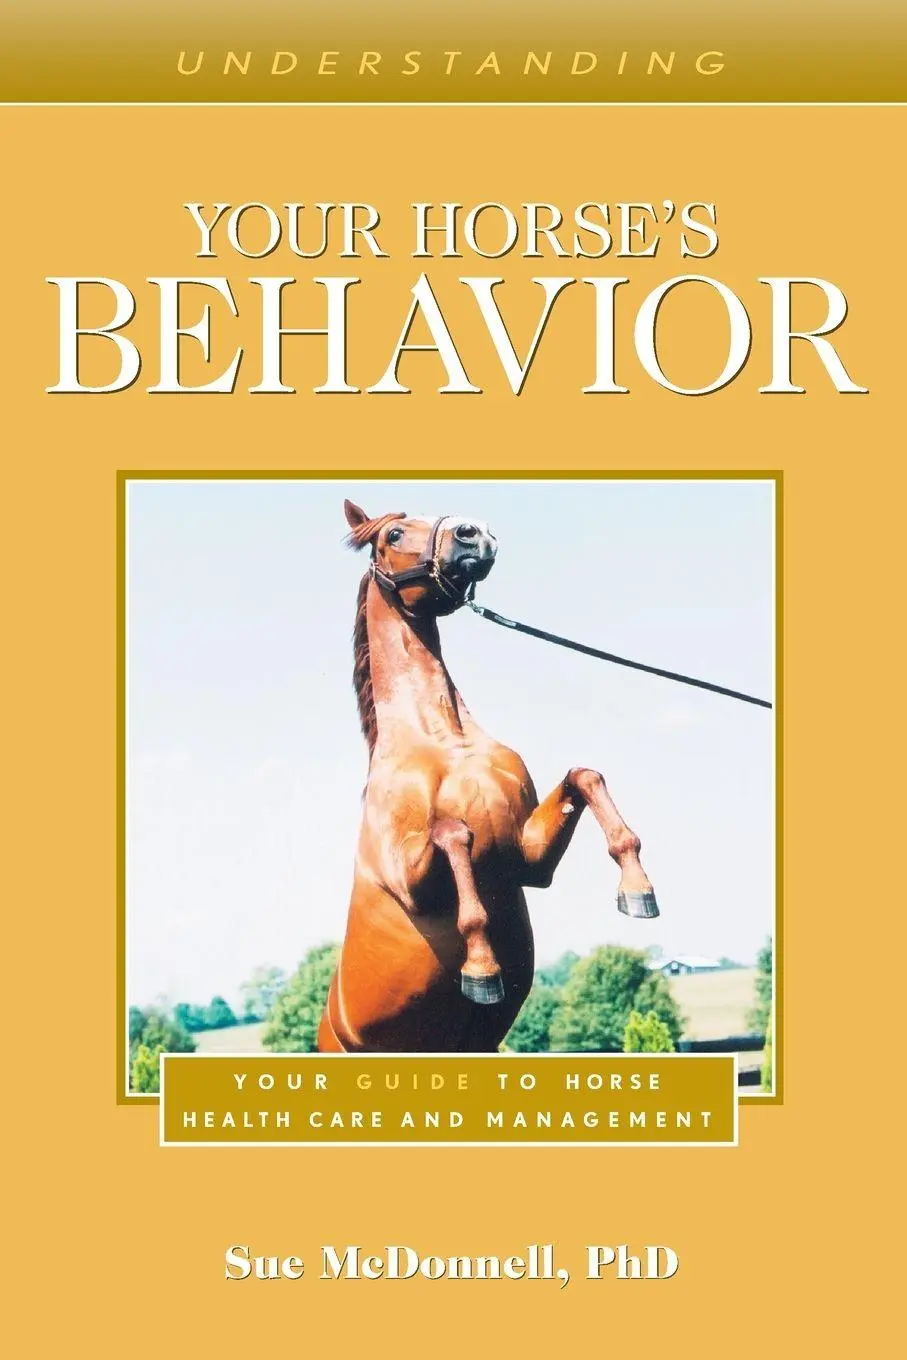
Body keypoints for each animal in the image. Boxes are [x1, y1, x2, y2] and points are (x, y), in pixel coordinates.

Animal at [317, 500, 659, 1054]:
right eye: (394, 534)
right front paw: (482, 971)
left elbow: (585, 776)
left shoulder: (529, 861)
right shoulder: (410, 881)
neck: (445, 741)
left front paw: (637, 889)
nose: (473, 534)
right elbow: (454, 833)